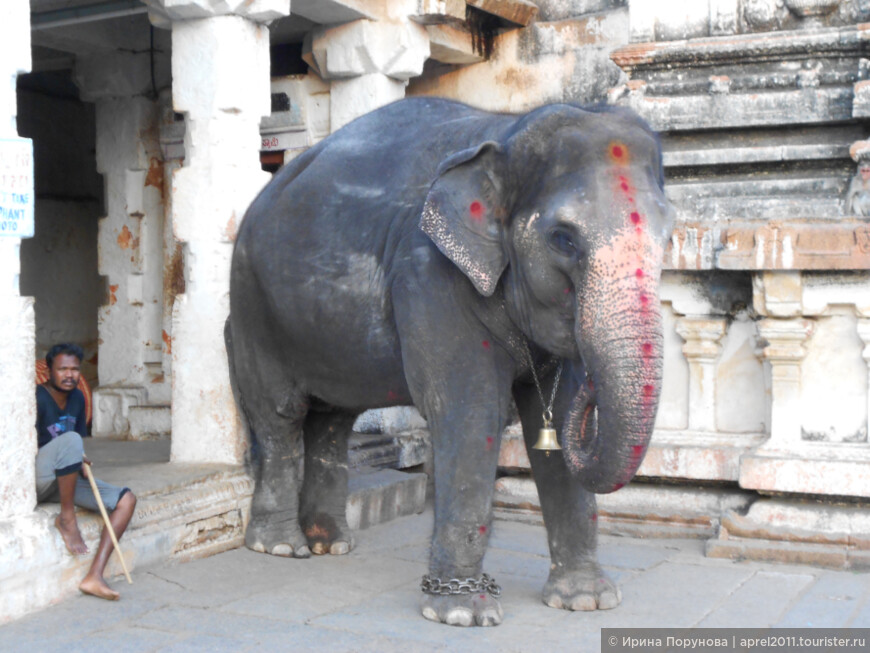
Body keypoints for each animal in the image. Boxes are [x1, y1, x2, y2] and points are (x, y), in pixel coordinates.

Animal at [225, 97, 676, 628]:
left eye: (669, 237)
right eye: (563, 239)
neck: (507, 132)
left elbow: (555, 414)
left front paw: (585, 600)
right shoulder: (429, 274)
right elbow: (469, 411)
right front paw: (463, 612)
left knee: (333, 419)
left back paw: (330, 544)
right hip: (253, 305)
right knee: (281, 413)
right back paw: (279, 547)